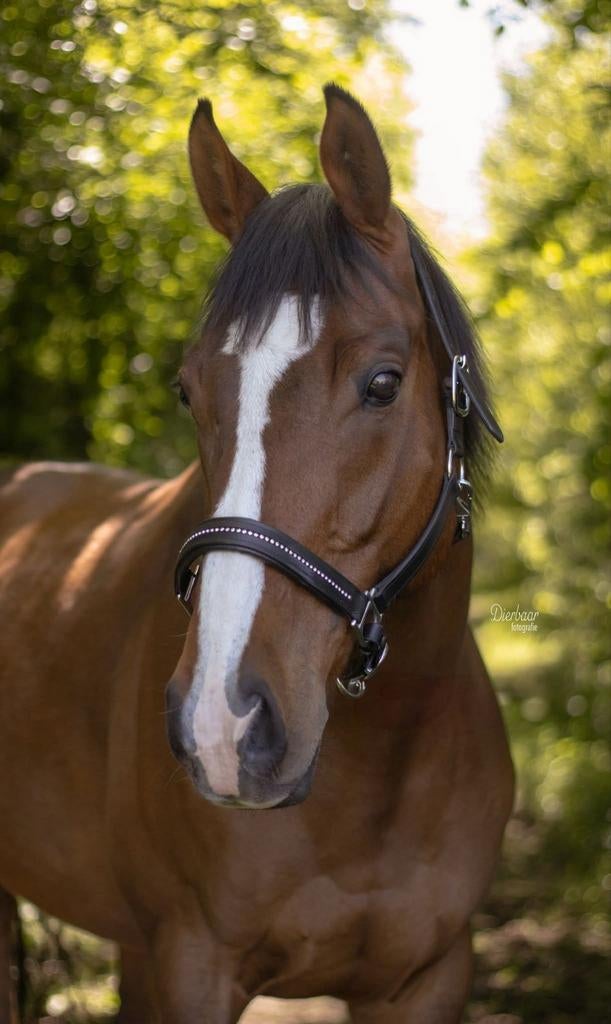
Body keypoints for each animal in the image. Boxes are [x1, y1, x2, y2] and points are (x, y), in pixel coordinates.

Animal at [0, 84, 514, 1023]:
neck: (379, 770)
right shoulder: (192, 965)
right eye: (187, 389)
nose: (221, 725)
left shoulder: (429, 975)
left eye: (382, 383)